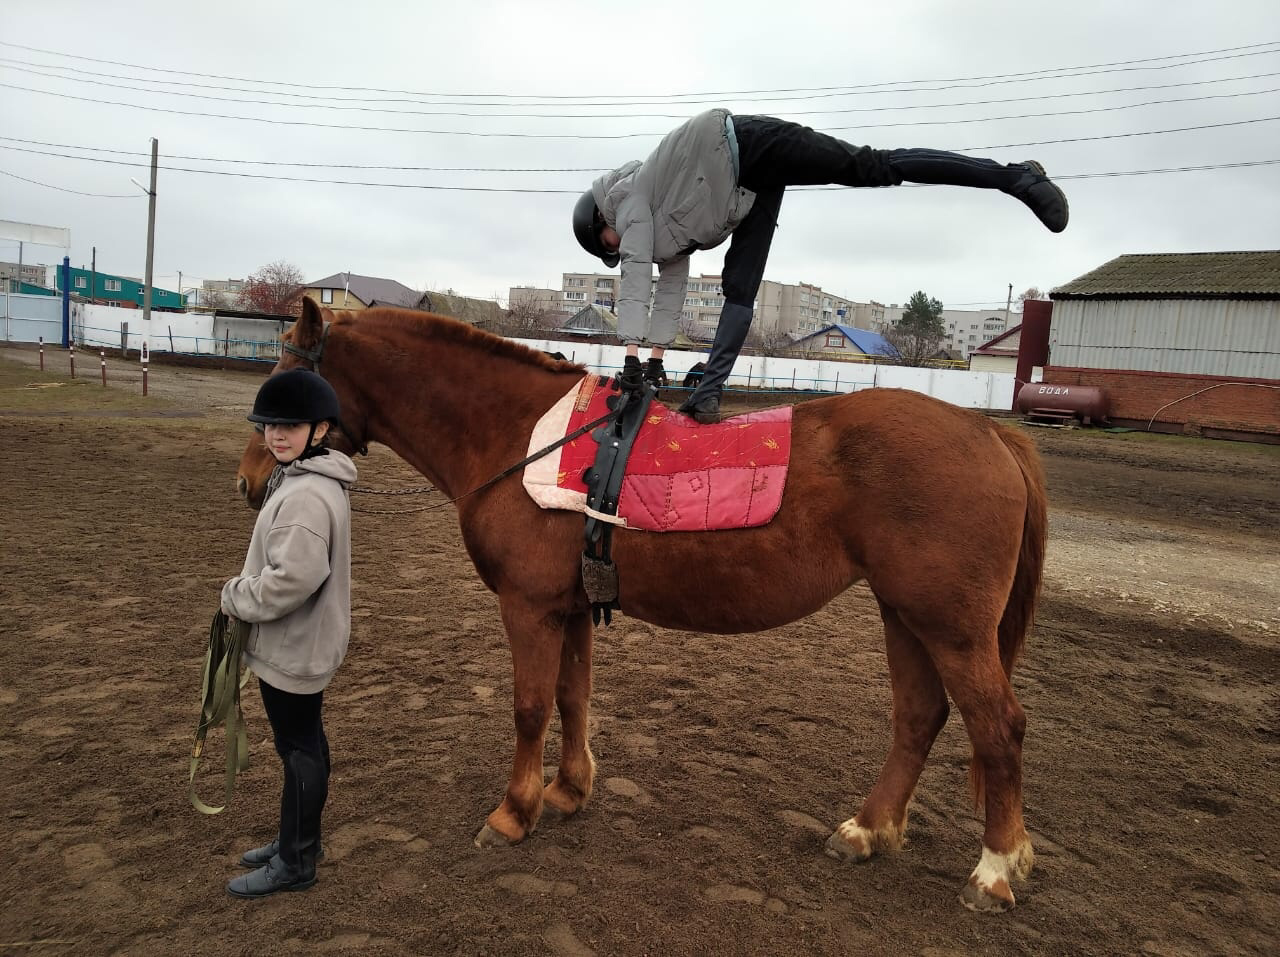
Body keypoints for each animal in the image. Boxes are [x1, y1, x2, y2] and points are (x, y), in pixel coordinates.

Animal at [235, 299, 1044, 910]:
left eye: (288, 371)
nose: (251, 477)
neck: (520, 438)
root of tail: (987, 430)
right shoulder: (568, 607)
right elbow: (573, 695)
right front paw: (568, 790)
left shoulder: (529, 607)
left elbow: (531, 706)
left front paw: (514, 812)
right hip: (905, 616)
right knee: (920, 718)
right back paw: (867, 830)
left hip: (952, 630)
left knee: (999, 729)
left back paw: (994, 870)